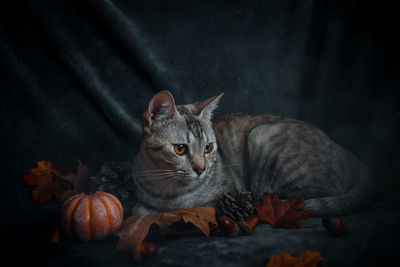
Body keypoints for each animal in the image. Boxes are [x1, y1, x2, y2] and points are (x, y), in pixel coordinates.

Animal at [131, 91, 376, 217]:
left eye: (208, 148)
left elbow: (175, 211)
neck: (164, 189)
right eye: (180, 149)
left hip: (262, 135)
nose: (201, 169)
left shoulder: (215, 199)